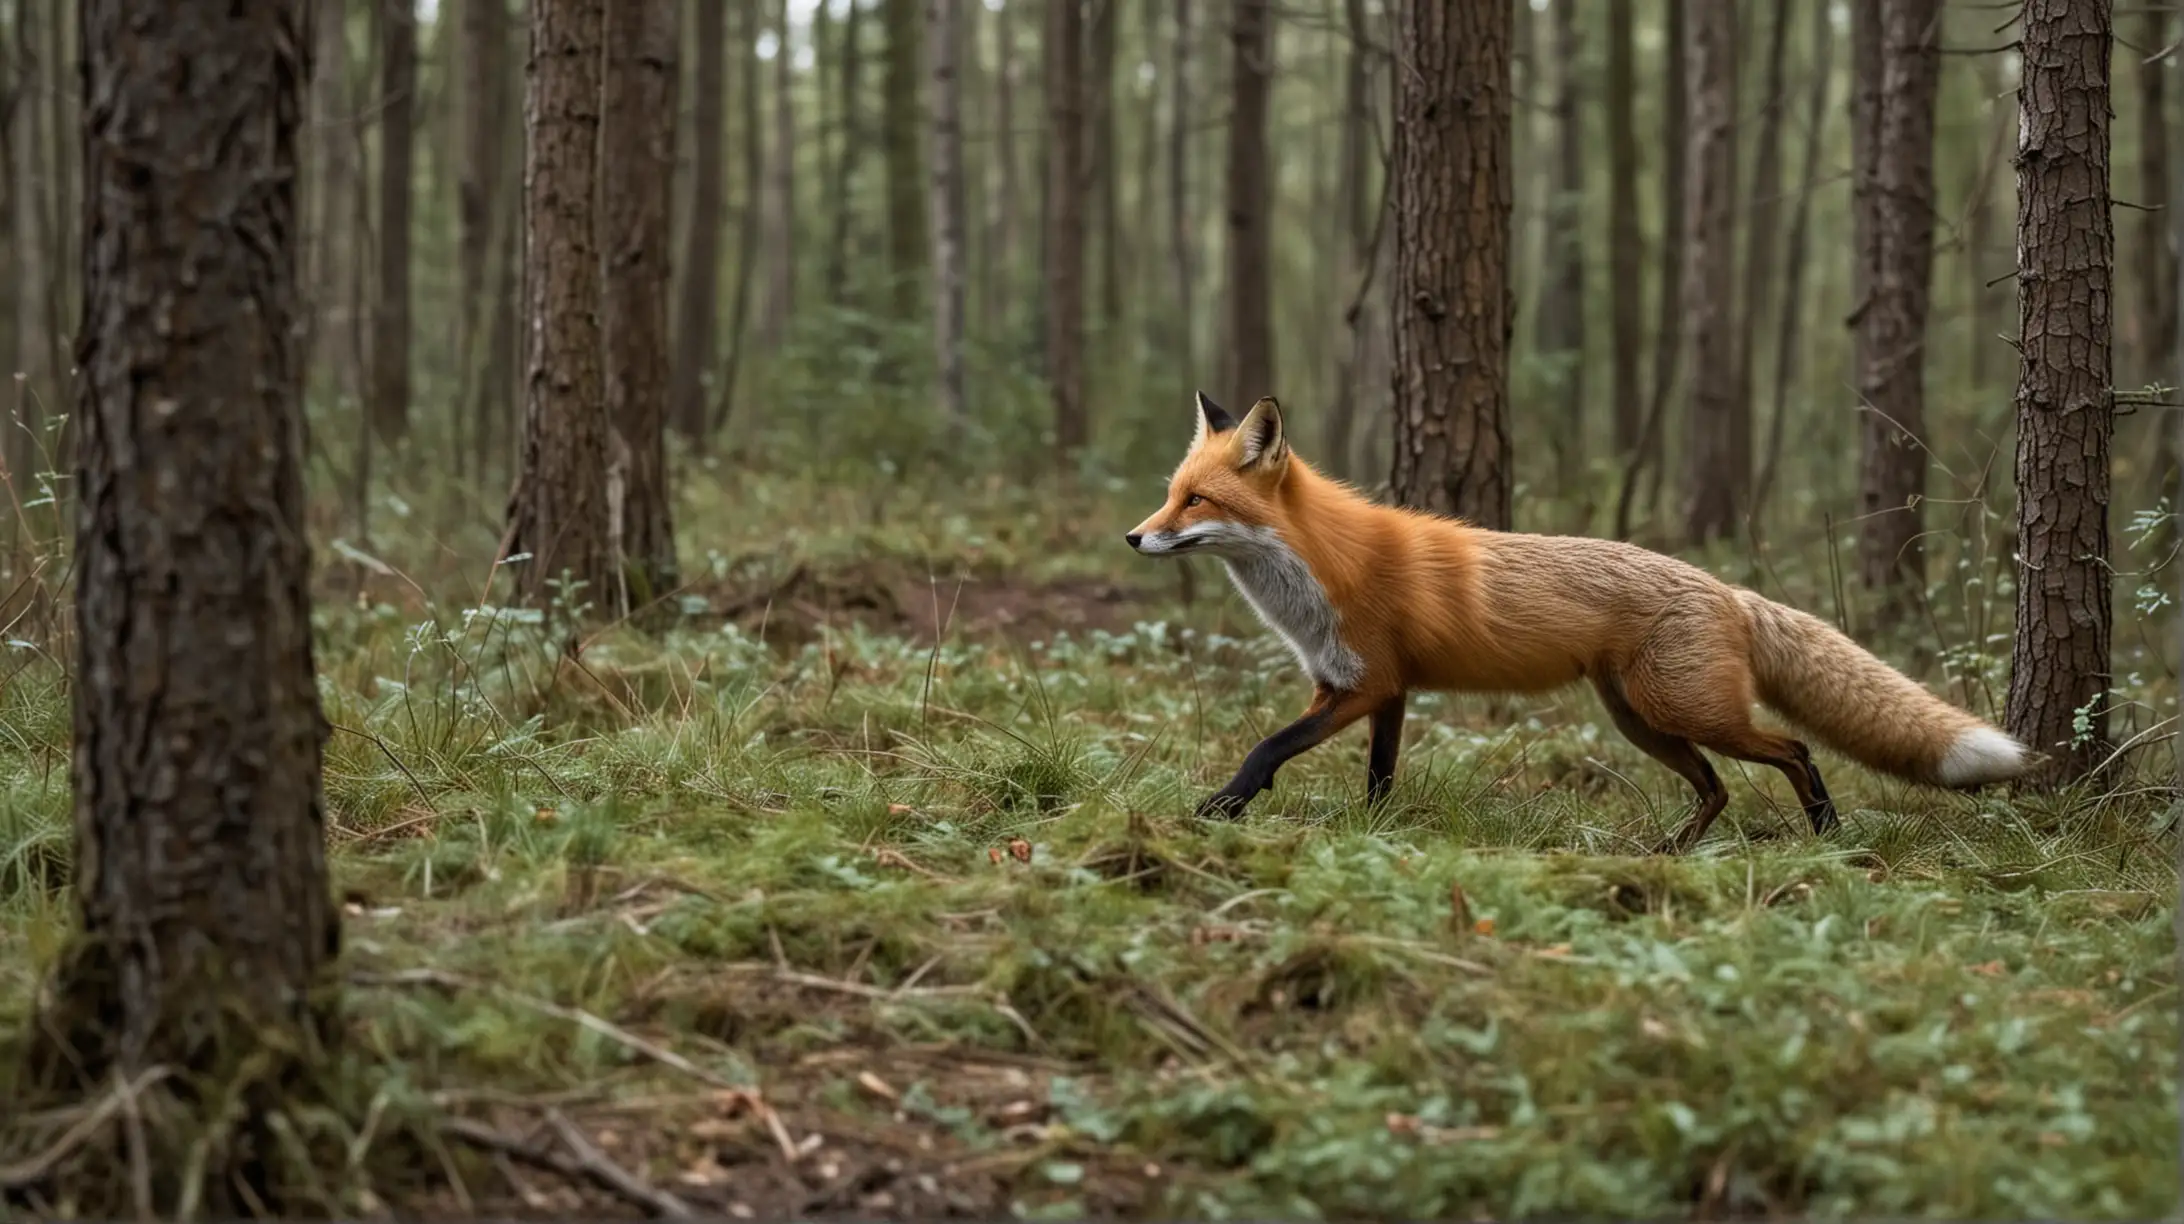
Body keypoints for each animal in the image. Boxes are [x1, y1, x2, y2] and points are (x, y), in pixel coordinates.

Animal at [1126, 391, 2026, 852]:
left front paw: (1222, 807)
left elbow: (1266, 746)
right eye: (1171, 494)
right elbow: (1378, 777)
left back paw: (1825, 831)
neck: (1318, 570)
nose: (1134, 537)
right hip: (1640, 721)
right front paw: (1373, 833)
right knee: (1718, 786)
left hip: (1683, 710)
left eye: (1195, 501)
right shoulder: (1379, 691)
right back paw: (1670, 854)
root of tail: (1726, 588)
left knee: (1793, 750)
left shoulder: (1364, 684)